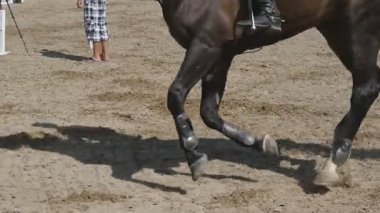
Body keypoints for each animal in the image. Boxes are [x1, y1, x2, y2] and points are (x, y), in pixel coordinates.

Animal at [155, 0, 380, 186]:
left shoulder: (206, 44)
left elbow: (175, 95)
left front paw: (193, 155)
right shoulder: (220, 53)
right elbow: (209, 113)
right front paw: (259, 143)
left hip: (358, 25)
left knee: (366, 87)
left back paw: (336, 159)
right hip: (335, 27)